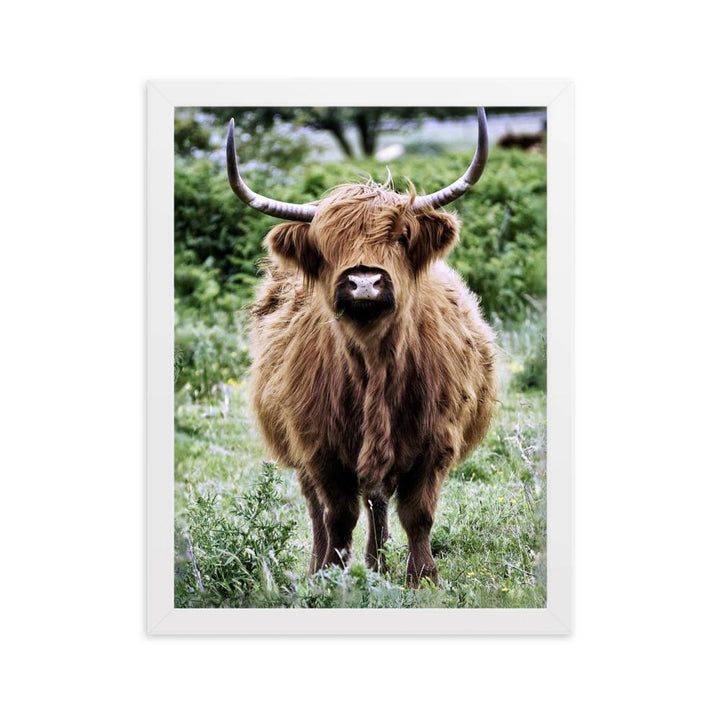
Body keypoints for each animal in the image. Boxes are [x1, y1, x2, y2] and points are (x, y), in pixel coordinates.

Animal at [226, 109, 497, 587]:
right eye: (325, 244)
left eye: (402, 236)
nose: (365, 282)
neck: (375, 365)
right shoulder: (319, 448)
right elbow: (337, 515)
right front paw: (332, 577)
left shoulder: (436, 442)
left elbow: (417, 514)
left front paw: (421, 578)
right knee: (321, 508)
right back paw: (328, 565)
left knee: (378, 500)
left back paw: (378, 563)